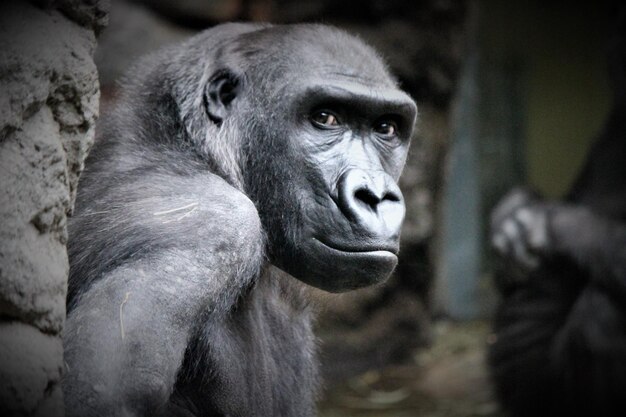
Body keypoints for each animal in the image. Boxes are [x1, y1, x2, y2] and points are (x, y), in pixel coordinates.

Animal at [62, 23, 414, 416]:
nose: (375, 196)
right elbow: (100, 389)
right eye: (325, 118)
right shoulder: (214, 222)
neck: (191, 148)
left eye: (386, 128)